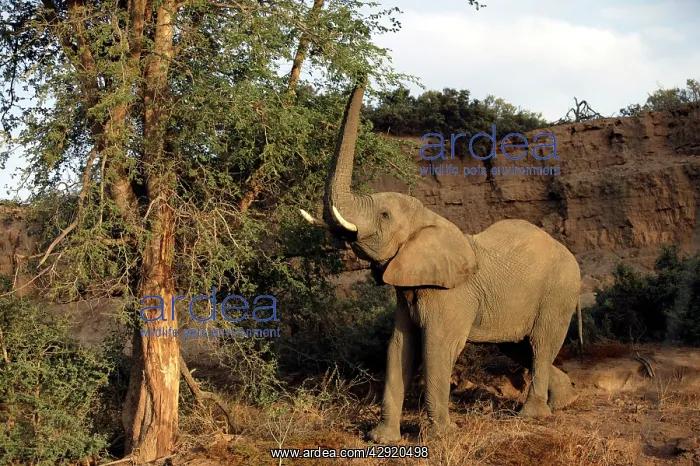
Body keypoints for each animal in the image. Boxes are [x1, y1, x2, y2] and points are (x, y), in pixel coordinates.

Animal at [300, 76, 583, 443]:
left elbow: (437, 347)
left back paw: (531, 416)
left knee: (540, 345)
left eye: (384, 215)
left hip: (558, 293)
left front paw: (439, 437)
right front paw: (381, 439)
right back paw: (565, 401)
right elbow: (399, 348)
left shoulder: (450, 294)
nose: (362, 74)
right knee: (522, 348)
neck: (429, 219)